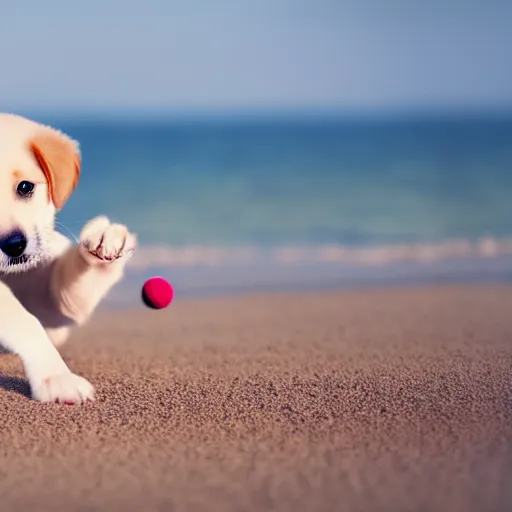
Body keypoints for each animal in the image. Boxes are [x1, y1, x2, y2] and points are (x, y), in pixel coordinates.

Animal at [0, 112, 136, 404]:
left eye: (25, 187)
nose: (14, 245)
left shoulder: (50, 305)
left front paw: (103, 245)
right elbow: (22, 319)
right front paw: (55, 377)